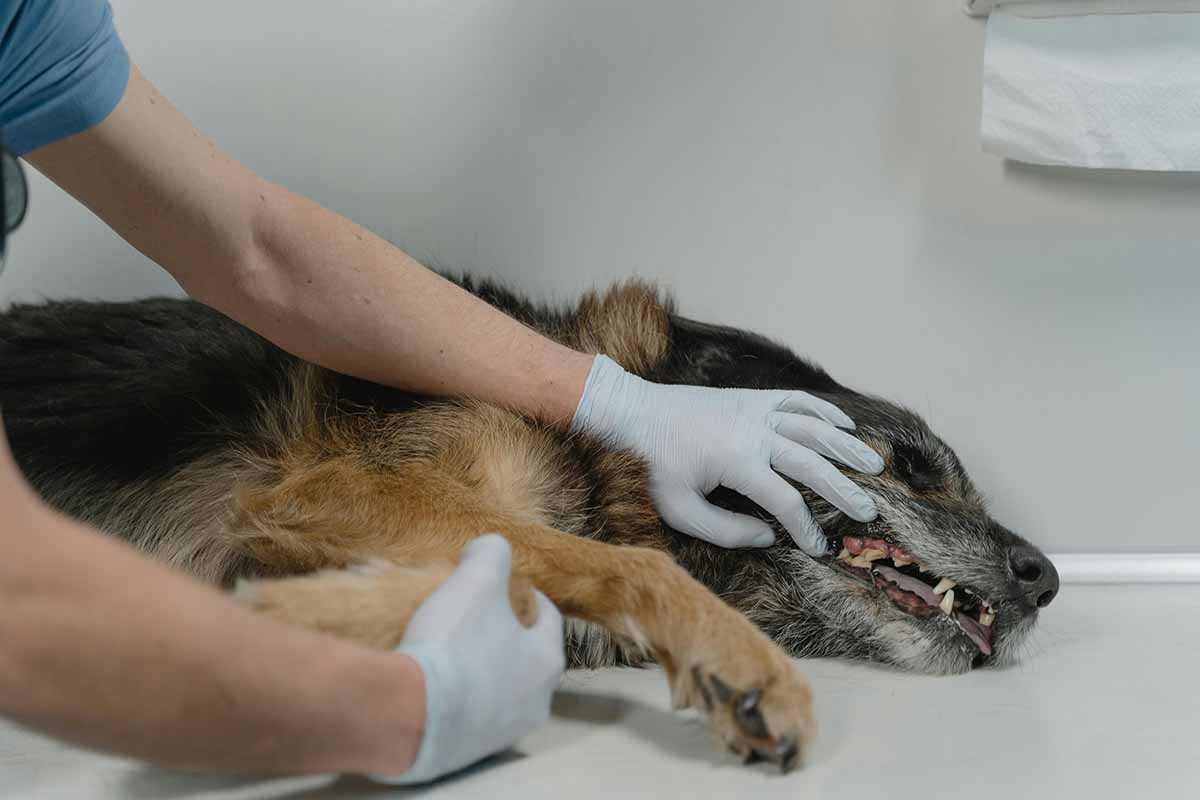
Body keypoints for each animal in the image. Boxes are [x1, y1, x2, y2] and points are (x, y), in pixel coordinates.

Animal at [0, 278, 1056, 772]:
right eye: (911, 465)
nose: (1045, 577)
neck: (596, 453)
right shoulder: (329, 488)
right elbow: (624, 565)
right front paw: (737, 658)